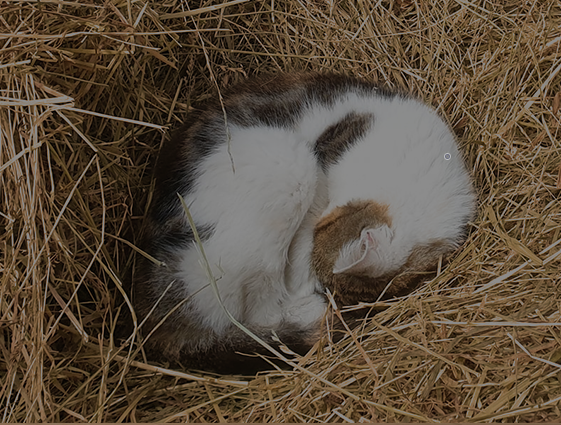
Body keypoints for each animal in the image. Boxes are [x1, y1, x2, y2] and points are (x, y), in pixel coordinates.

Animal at [132, 73, 476, 374]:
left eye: (332, 289)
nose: (322, 293)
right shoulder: (325, 160)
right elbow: (307, 233)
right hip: (288, 163)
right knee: (262, 311)